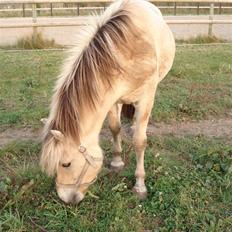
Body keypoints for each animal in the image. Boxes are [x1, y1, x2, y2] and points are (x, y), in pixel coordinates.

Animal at [40, 0, 174, 203]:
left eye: (66, 164)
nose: (65, 198)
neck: (127, 51)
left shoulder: (146, 97)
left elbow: (139, 141)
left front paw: (140, 185)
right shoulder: (111, 99)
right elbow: (114, 128)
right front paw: (117, 161)